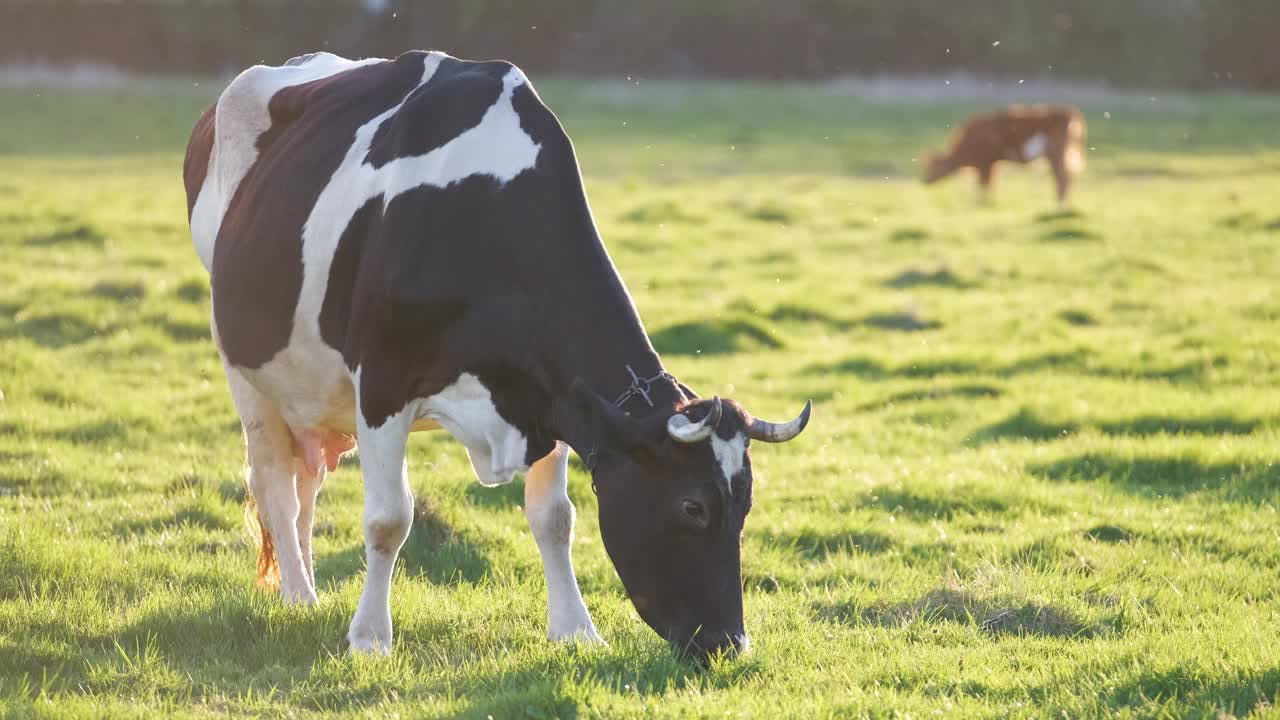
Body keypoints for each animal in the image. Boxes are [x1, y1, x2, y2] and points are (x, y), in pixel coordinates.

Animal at [183, 47, 808, 661]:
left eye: (746, 505)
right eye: (692, 507)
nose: (730, 644)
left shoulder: (553, 399)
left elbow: (555, 518)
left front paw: (576, 629)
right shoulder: (382, 384)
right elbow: (389, 520)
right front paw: (370, 639)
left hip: (310, 388)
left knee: (305, 479)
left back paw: (305, 585)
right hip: (245, 369)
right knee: (275, 485)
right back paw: (299, 596)